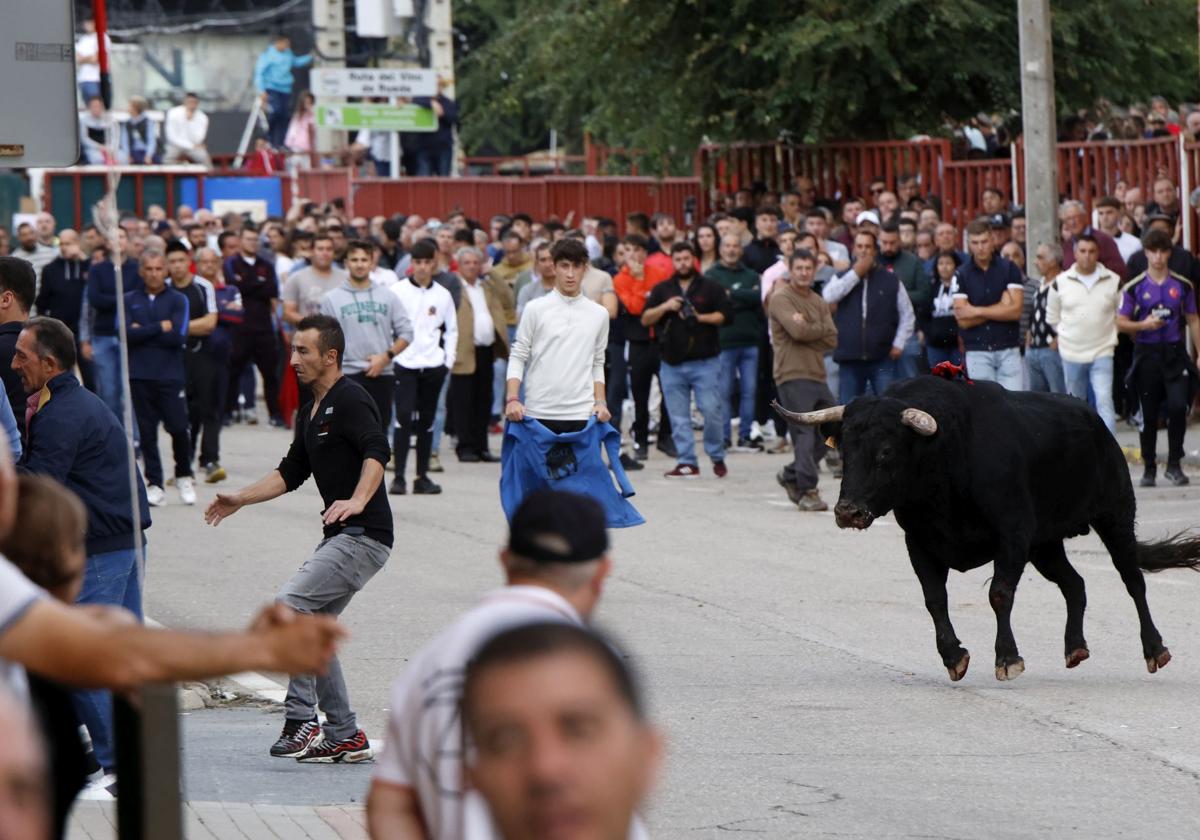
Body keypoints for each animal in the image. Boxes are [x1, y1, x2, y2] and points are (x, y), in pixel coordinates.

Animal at [772, 376, 1200, 681]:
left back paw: (1155, 650)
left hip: (1115, 516)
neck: (946, 458)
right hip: (1046, 545)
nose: (848, 511)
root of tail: (1096, 423)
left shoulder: (1012, 536)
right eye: (844, 450)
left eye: (886, 451)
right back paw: (1075, 648)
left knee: (1133, 581)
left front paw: (1007, 658)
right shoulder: (921, 544)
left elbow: (999, 594)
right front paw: (954, 657)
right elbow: (934, 600)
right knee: (1075, 584)